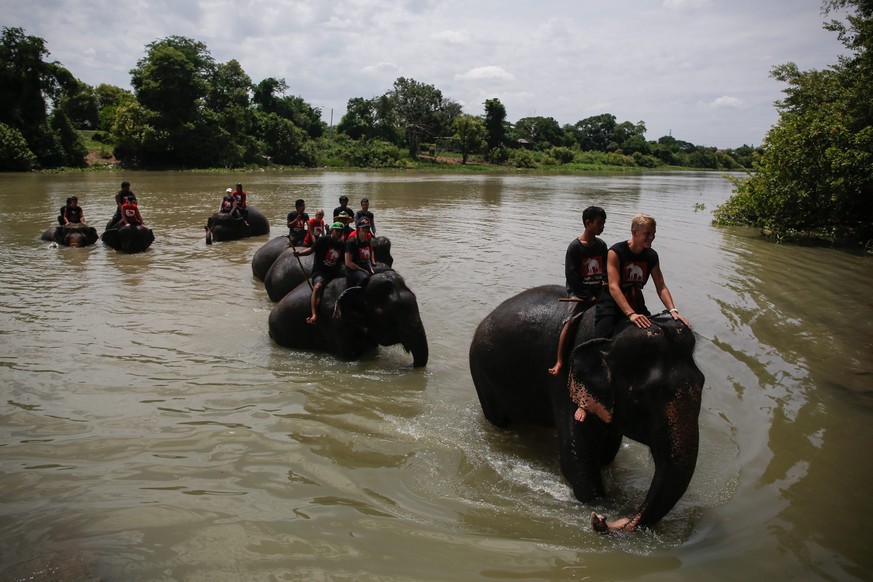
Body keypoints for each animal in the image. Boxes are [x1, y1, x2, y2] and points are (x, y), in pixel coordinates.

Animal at [466, 286, 704, 536]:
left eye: (703, 384)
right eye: (643, 396)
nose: (601, 519)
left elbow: (609, 448)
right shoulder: (566, 384)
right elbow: (575, 457)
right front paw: (600, 505)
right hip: (482, 376)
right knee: (498, 420)